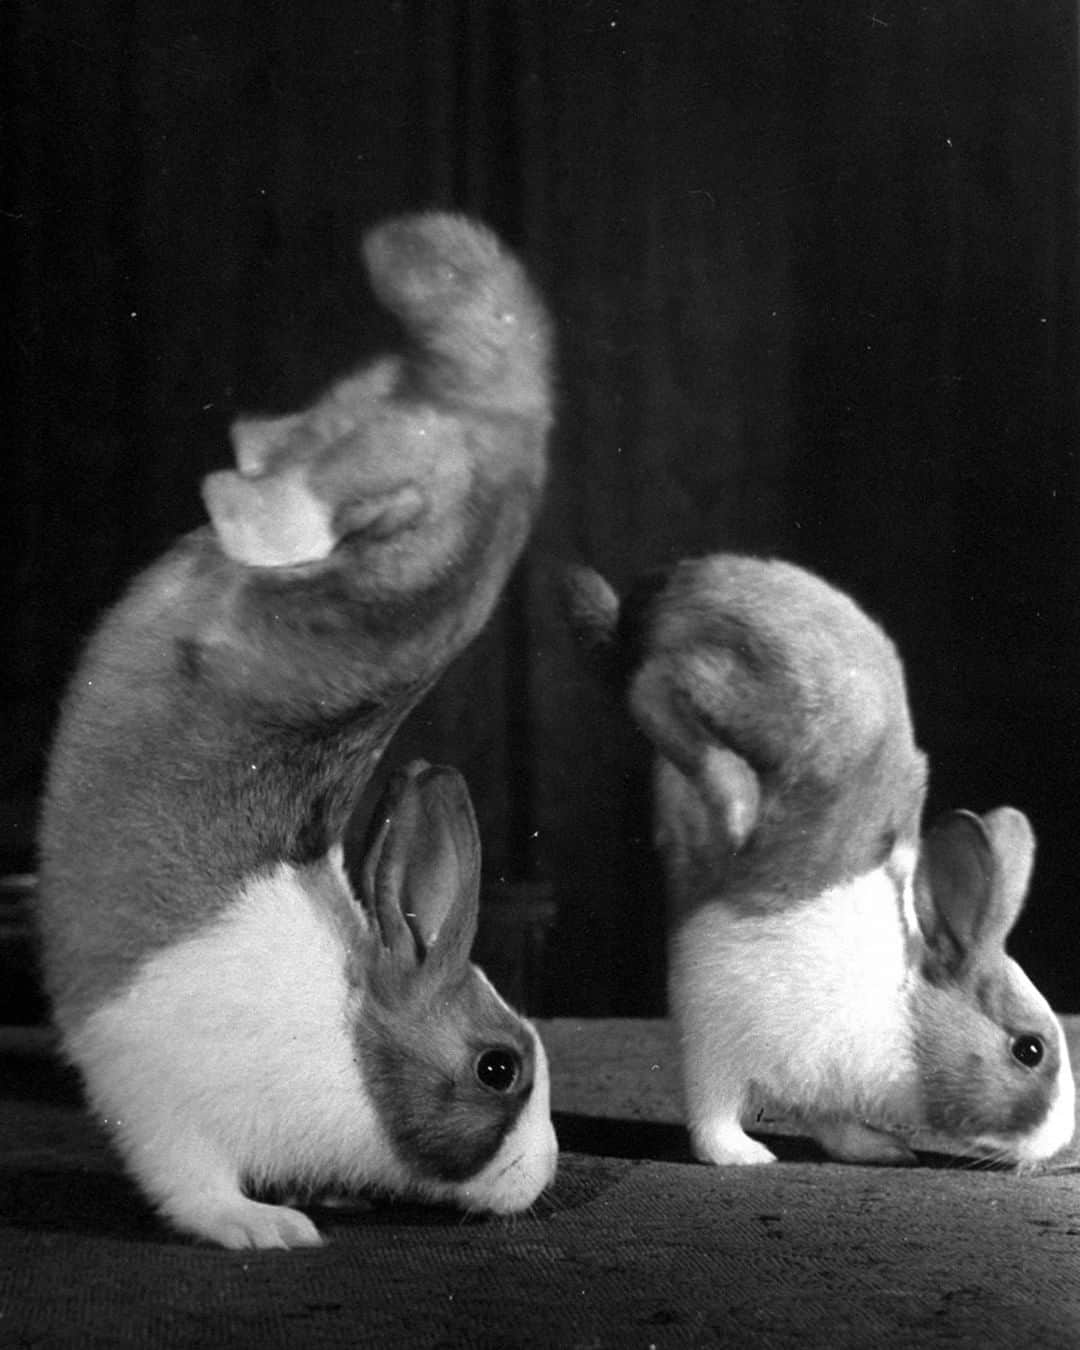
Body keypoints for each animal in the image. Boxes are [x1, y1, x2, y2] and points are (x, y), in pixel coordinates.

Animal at [33, 213, 556, 1242]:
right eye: (499, 1067)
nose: (542, 1176)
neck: (346, 1032)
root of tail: (509, 416)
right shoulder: (165, 1113)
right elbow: (190, 1186)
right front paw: (261, 1228)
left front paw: (319, 1196)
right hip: (405, 530)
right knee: (316, 497)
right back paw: (258, 514)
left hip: (405, 490)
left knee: (305, 443)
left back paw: (255, 463)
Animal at [569, 558, 1074, 1171]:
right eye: (1030, 1049)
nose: (1061, 1141)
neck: (905, 1013)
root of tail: (680, 580)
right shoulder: (716, 1039)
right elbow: (712, 1115)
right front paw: (743, 1156)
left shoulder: (820, 1088)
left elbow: (833, 1124)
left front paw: (882, 1150)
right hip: (776, 698)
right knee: (652, 684)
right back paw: (734, 801)